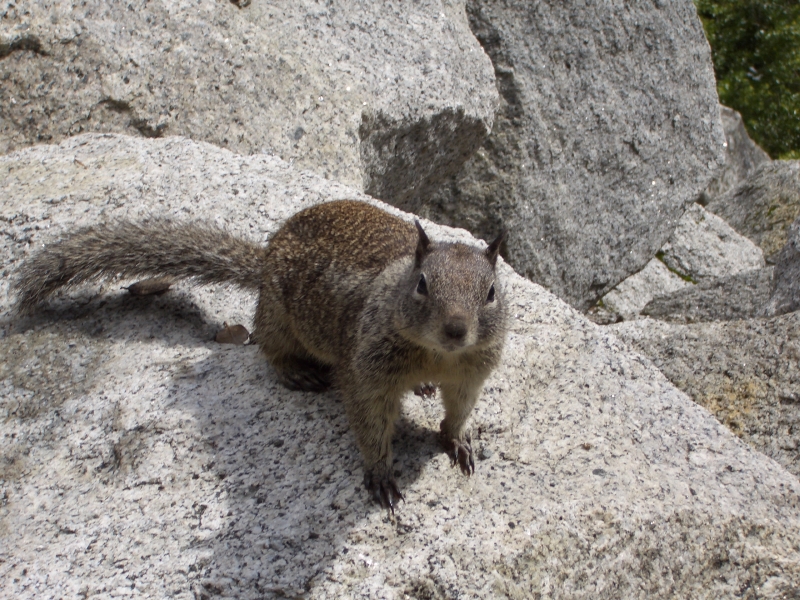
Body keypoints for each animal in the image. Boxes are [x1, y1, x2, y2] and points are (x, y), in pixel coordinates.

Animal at [13, 200, 506, 511]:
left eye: (491, 292)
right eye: (422, 284)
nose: (456, 329)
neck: (437, 356)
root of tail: (265, 256)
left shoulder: (472, 373)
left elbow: (459, 409)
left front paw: (458, 441)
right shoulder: (365, 373)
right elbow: (369, 423)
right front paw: (382, 473)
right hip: (278, 319)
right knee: (269, 348)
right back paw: (296, 373)